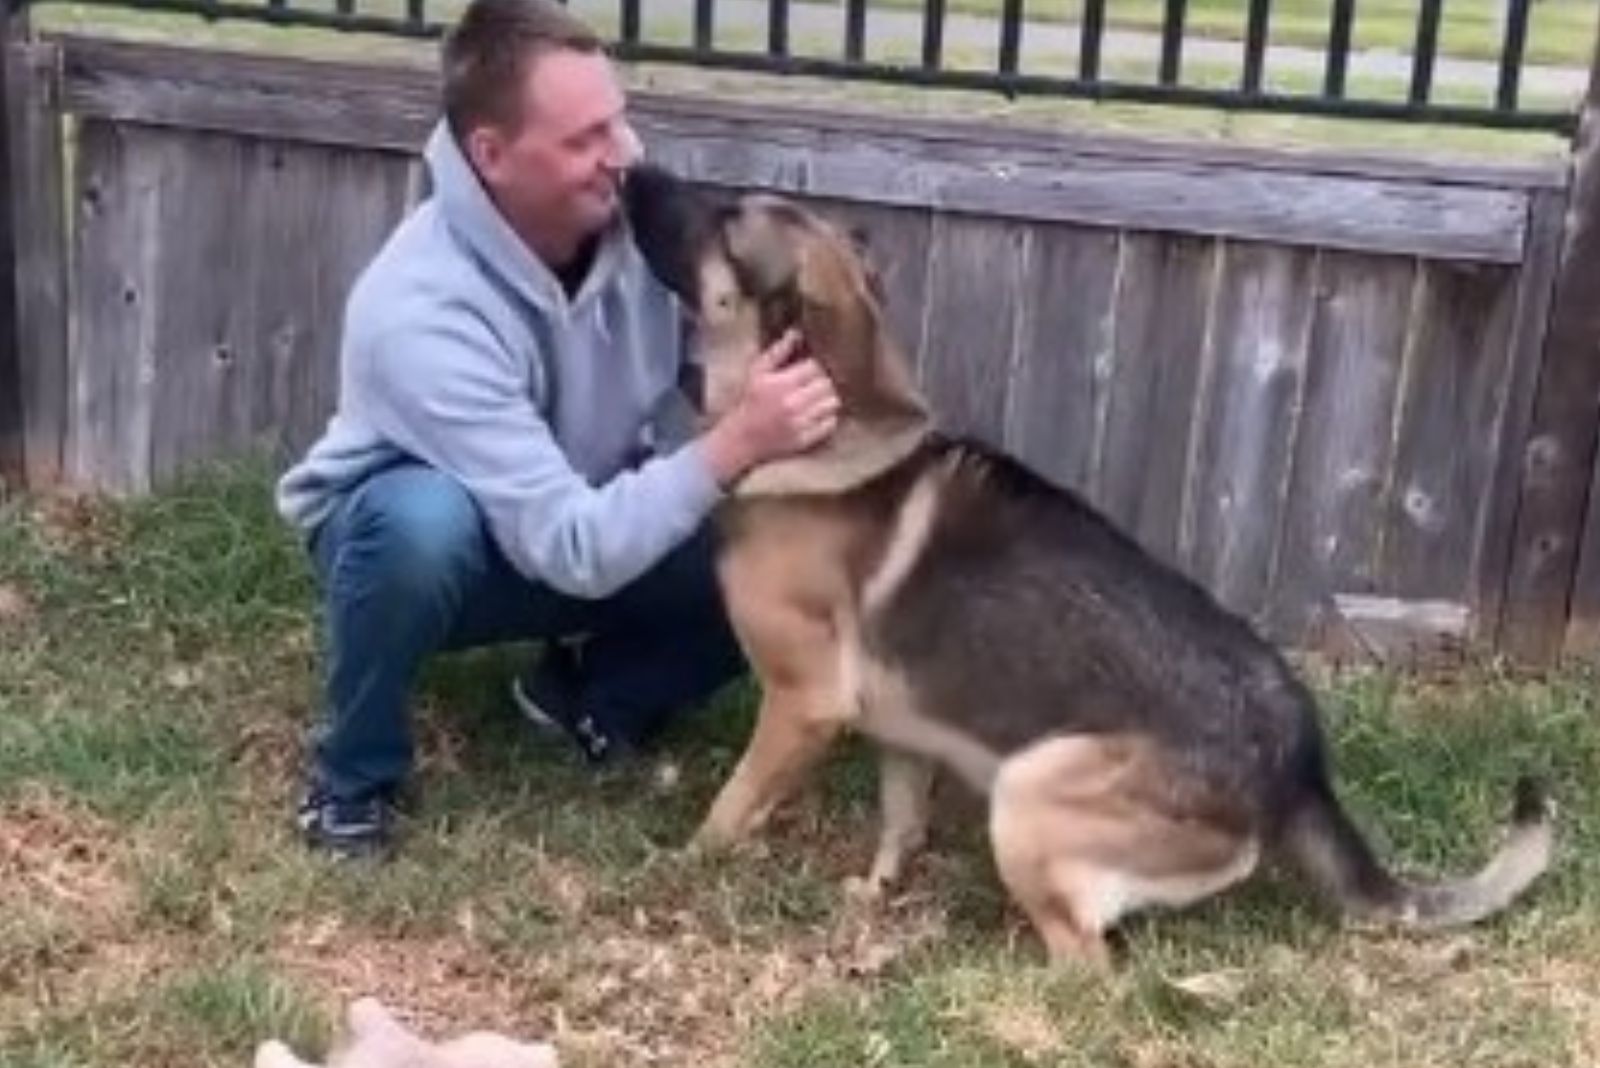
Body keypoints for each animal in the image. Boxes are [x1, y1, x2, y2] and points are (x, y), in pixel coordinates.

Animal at [620, 164, 1548, 965]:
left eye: (726, 220)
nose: (632, 170)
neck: (828, 433)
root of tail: (1295, 767)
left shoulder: (802, 705)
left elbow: (729, 806)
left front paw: (686, 864)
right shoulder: (899, 735)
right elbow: (900, 827)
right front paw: (877, 894)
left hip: (1029, 791)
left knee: (1091, 964)